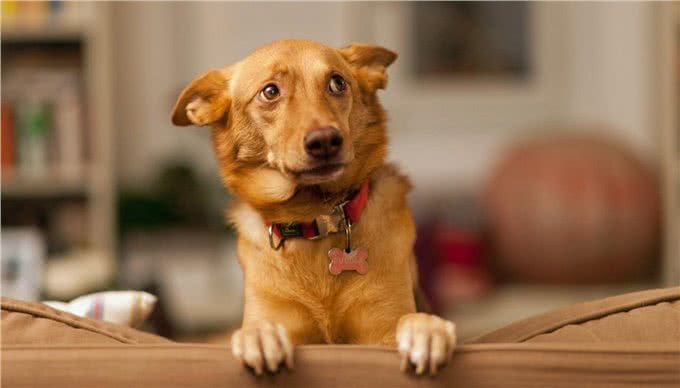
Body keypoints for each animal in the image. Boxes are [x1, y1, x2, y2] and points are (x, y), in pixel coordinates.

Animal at [170, 40, 456, 376]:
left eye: (337, 83)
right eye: (270, 91)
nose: (325, 141)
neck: (313, 216)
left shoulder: (380, 329)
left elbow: (409, 320)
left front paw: (427, 329)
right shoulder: (279, 316)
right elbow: (259, 327)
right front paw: (259, 336)